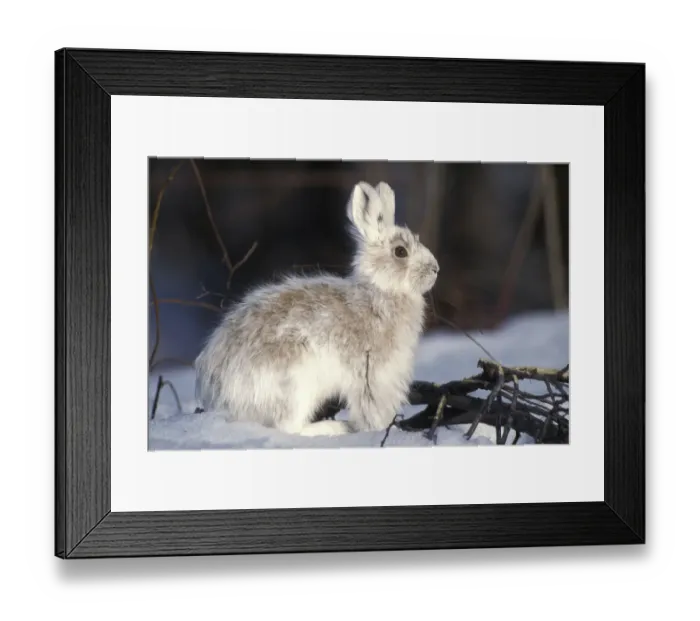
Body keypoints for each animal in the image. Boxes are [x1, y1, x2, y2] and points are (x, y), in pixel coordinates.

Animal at [193, 181, 440, 437]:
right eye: (400, 251)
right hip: (295, 384)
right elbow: (371, 410)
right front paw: (378, 430)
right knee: (289, 428)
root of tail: (222, 399)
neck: (380, 289)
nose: (436, 269)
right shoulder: (373, 377)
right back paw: (335, 428)